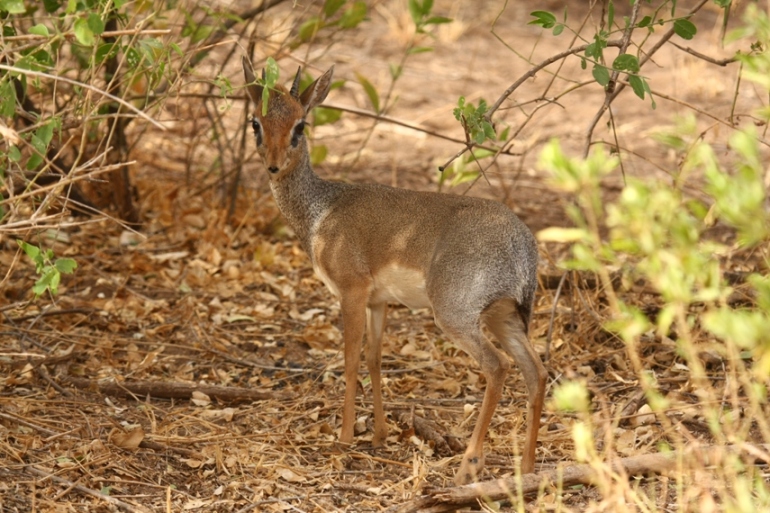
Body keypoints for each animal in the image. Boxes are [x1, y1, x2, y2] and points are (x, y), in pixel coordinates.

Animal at [242, 57, 544, 484]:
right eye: (255, 121)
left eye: (300, 125)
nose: (273, 164)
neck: (321, 212)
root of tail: (524, 246)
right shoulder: (378, 302)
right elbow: (374, 357)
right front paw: (380, 434)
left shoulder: (351, 291)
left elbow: (350, 358)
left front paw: (345, 437)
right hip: (505, 316)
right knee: (536, 372)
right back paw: (529, 468)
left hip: (455, 315)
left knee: (497, 367)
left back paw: (469, 465)